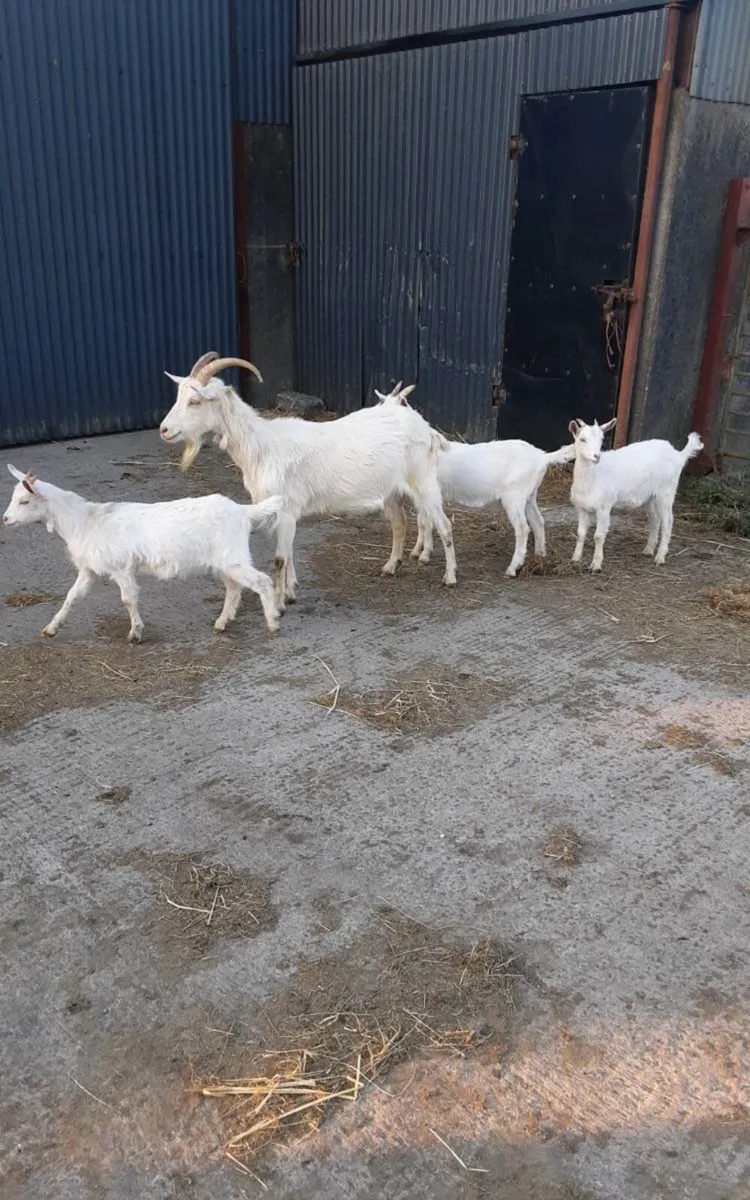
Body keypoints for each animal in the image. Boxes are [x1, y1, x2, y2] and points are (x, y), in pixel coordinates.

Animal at [2, 465, 282, 641]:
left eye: (24, 501)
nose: (5, 519)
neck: (84, 521)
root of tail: (243, 511)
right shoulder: (89, 569)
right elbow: (72, 596)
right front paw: (51, 628)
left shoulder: (121, 568)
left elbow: (128, 600)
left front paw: (135, 633)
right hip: (224, 561)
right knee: (234, 588)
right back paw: (222, 623)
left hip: (232, 557)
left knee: (262, 581)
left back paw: (272, 623)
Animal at [160, 354, 457, 608]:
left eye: (195, 401)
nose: (164, 429)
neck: (262, 447)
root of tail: (427, 429)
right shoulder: (284, 513)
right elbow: (290, 553)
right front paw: (291, 592)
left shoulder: (286, 509)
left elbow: (280, 558)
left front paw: (279, 603)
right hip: (392, 491)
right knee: (399, 524)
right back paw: (390, 567)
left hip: (423, 481)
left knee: (443, 524)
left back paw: (450, 577)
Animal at [374, 383, 576, 577]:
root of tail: (542, 456)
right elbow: (425, 520)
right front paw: (420, 551)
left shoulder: (425, 490)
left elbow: (425, 521)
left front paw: (423, 554)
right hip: (529, 495)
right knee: (538, 522)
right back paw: (540, 558)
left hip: (514, 496)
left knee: (522, 528)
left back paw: (513, 568)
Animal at [567, 418, 704, 571]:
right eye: (582, 439)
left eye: (602, 439)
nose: (597, 456)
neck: (591, 478)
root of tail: (678, 455)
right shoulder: (582, 508)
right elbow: (580, 534)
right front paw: (575, 559)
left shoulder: (604, 507)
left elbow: (598, 536)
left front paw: (596, 565)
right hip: (650, 497)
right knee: (654, 519)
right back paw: (648, 550)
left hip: (666, 491)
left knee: (667, 521)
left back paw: (660, 557)